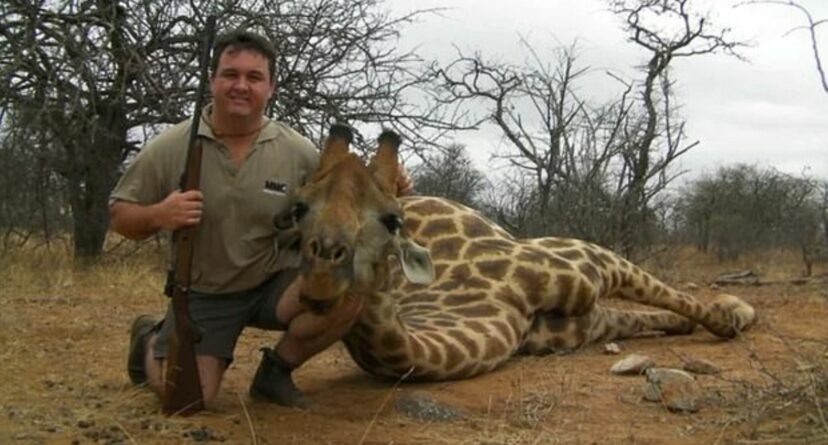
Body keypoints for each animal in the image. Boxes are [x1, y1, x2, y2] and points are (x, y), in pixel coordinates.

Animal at [282, 124, 757, 382]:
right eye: (299, 207)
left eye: (391, 220)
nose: (320, 279)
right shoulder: (578, 325)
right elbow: (651, 314)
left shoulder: (587, 267)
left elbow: (683, 302)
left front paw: (732, 317)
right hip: (592, 314)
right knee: (644, 315)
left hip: (581, 252)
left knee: (666, 294)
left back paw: (738, 309)